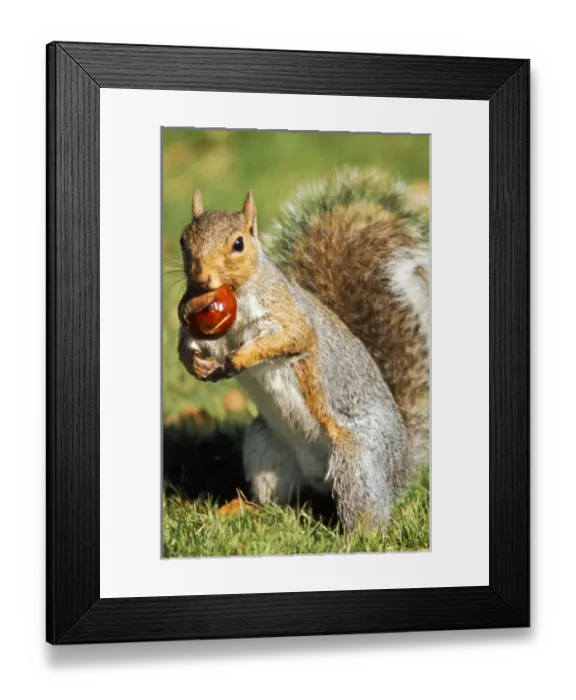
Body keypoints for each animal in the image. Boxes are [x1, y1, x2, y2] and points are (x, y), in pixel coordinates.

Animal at [177, 169, 429, 533]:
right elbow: (193, 341)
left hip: (357, 462)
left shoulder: (287, 315)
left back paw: (359, 535)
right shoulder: (207, 329)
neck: (238, 293)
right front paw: (193, 363)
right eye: (183, 241)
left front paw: (243, 357)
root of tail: (402, 466)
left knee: (366, 510)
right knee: (276, 496)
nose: (201, 278)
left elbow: (293, 338)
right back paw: (250, 511)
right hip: (265, 446)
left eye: (238, 244)